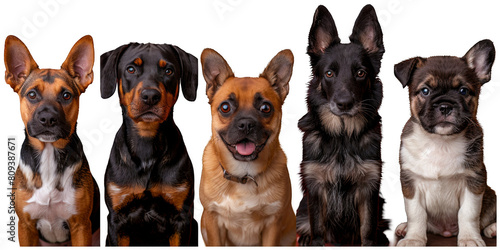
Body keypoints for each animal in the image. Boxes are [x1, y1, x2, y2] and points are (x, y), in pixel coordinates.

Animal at [4, 35, 99, 246]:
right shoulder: (26, 226)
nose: (47, 119)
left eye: (66, 95)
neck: (49, 153)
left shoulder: (81, 226)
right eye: (32, 94)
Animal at [99, 42, 197, 246]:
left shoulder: (182, 218)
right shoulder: (117, 219)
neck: (147, 146)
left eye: (168, 70)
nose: (150, 96)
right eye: (131, 69)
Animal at [199, 48, 296, 246]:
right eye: (225, 107)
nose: (245, 124)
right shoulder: (212, 221)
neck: (244, 173)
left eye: (266, 107)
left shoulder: (273, 224)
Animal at [296, 4, 390, 246]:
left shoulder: (369, 187)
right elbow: (318, 226)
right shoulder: (315, 186)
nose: (344, 104)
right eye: (329, 73)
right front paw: (314, 240)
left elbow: (367, 229)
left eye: (360, 73)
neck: (342, 136)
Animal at [394, 39, 496, 246]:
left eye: (463, 91)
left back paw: (492, 228)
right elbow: (415, 214)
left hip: (491, 194)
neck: (441, 141)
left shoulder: (474, 181)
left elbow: (468, 214)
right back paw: (405, 228)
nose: (445, 105)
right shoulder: (411, 182)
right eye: (425, 91)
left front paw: (470, 238)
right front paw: (414, 239)